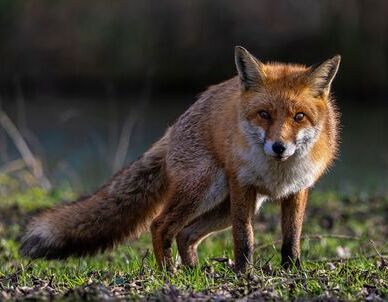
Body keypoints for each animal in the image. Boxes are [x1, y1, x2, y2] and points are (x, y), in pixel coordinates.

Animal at [19, 46, 340, 272]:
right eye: (264, 114)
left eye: (299, 117)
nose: (279, 147)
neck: (277, 173)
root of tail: (173, 128)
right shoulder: (242, 185)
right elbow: (244, 237)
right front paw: (244, 273)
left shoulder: (298, 189)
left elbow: (291, 237)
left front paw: (292, 271)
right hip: (207, 190)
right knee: (160, 225)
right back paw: (168, 273)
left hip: (224, 206)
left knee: (185, 233)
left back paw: (193, 271)